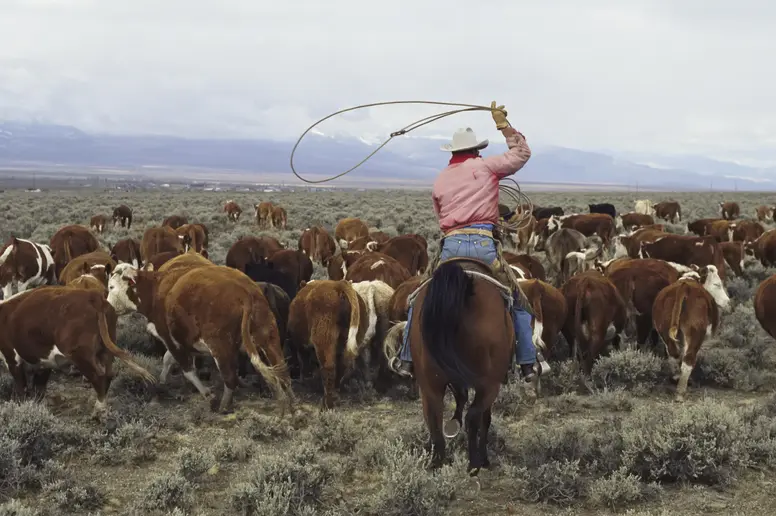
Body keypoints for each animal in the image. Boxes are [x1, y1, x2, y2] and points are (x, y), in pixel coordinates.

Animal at [0, 288, 156, 418]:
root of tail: (93, 296)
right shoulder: (43, 362)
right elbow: (39, 387)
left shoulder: (12, 358)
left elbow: (21, 386)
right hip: (106, 348)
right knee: (109, 374)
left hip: (80, 354)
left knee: (98, 376)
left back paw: (98, 410)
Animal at [108, 264, 292, 414]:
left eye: (110, 286)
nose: (107, 305)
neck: (156, 289)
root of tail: (244, 293)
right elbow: (168, 359)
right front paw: (161, 382)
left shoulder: (170, 339)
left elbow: (187, 370)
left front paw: (207, 394)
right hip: (269, 339)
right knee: (283, 372)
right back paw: (291, 406)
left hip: (220, 347)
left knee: (230, 378)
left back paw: (223, 407)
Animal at [406, 260, 516, 474]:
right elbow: (485, 419)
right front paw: (484, 459)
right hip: (489, 383)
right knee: (473, 417)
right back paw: (474, 463)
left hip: (429, 383)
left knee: (434, 417)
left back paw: (437, 462)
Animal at [656, 270, 720, 404]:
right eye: (716, 284)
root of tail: (684, 287)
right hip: (695, 333)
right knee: (688, 359)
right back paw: (681, 392)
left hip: (666, 330)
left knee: (674, 354)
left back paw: (676, 378)